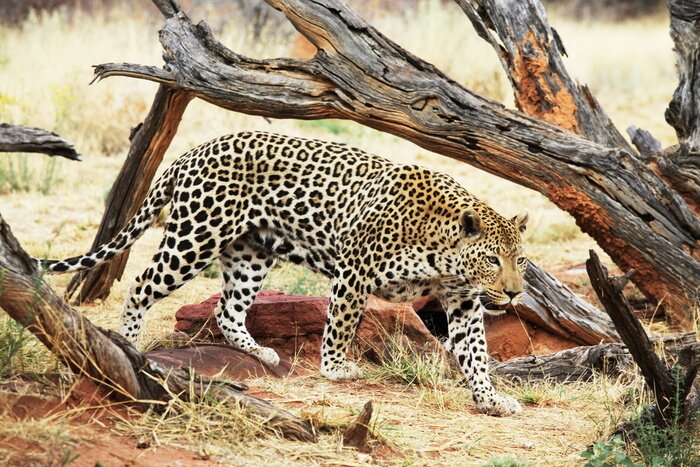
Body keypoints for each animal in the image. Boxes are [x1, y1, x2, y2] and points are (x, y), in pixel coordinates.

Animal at [39, 131, 528, 417]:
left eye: (520, 261)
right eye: (492, 260)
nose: (514, 294)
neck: (442, 250)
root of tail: (192, 151)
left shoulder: (463, 302)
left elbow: (476, 354)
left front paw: (490, 399)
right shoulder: (354, 272)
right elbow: (341, 324)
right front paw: (335, 369)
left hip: (250, 254)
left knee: (227, 310)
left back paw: (260, 352)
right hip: (195, 237)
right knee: (142, 285)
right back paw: (130, 345)